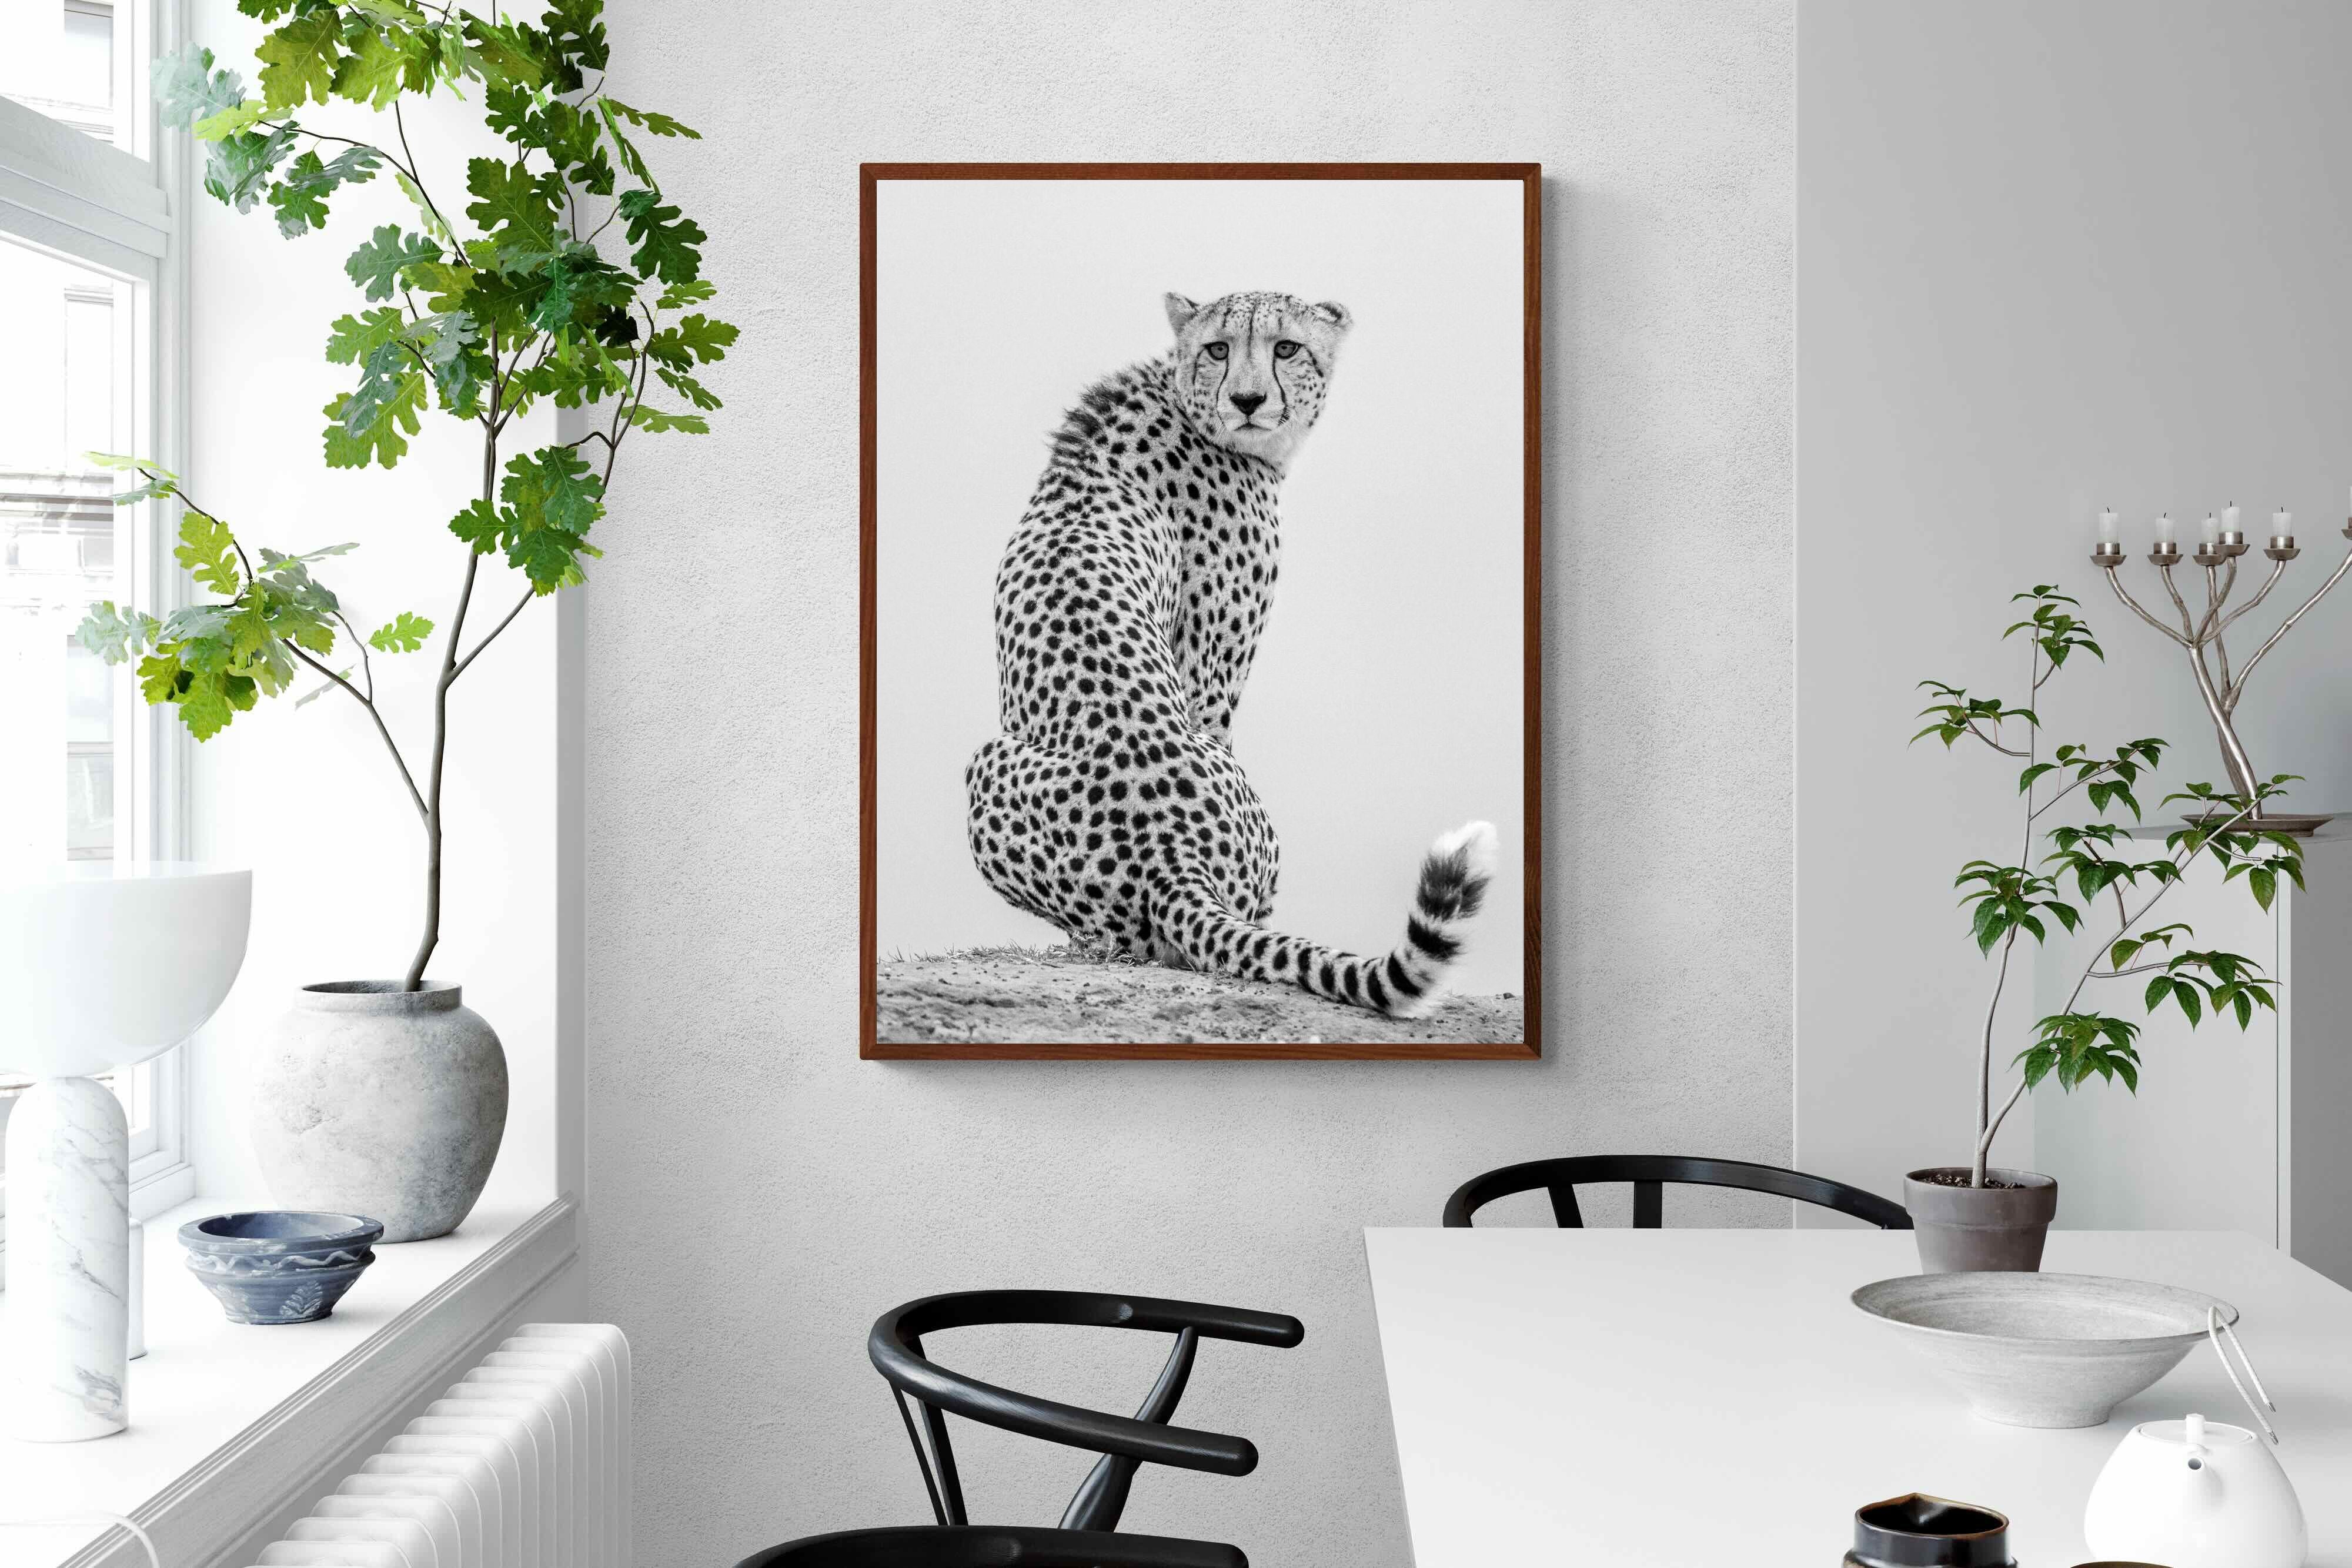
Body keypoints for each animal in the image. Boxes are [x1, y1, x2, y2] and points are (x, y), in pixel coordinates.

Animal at [962, 288, 1498, 1018]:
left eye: (1285, 347)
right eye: (1219, 348)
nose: (1247, 399)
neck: (1182, 399)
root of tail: (1170, 856)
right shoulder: (1210, 675)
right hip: (991, 763)